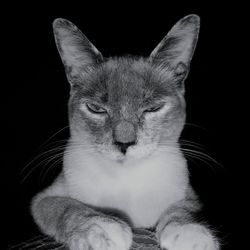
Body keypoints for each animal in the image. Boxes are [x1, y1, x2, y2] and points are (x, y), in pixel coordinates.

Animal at [30, 14, 219, 250]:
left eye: (153, 108)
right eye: (96, 109)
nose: (124, 144)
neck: (126, 179)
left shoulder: (190, 196)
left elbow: (181, 210)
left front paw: (190, 234)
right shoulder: (43, 199)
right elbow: (67, 208)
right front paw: (102, 230)